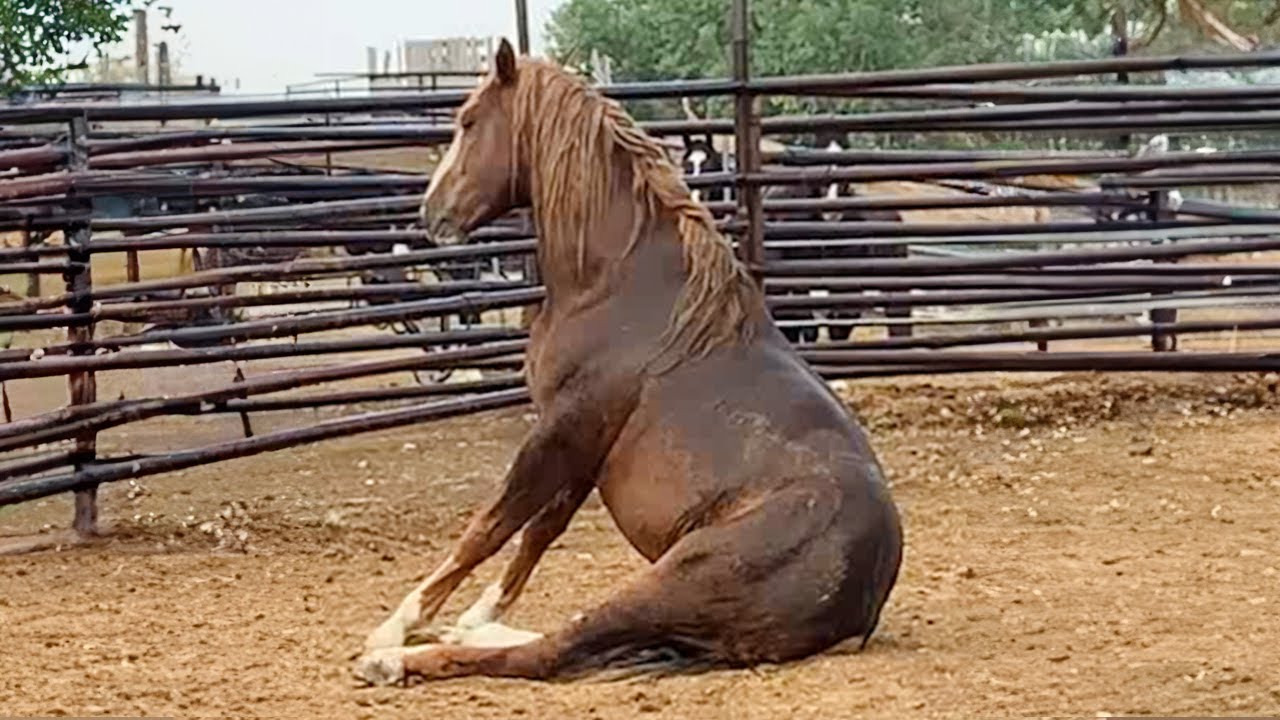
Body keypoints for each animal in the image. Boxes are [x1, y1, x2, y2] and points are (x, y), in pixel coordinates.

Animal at [353, 39, 903, 685]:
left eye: (467, 121)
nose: (429, 213)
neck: (622, 286)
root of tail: (861, 603)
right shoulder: (584, 445)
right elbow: (541, 529)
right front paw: (472, 614)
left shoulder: (561, 429)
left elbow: (490, 526)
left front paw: (395, 626)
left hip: (675, 576)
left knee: (551, 652)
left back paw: (393, 660)